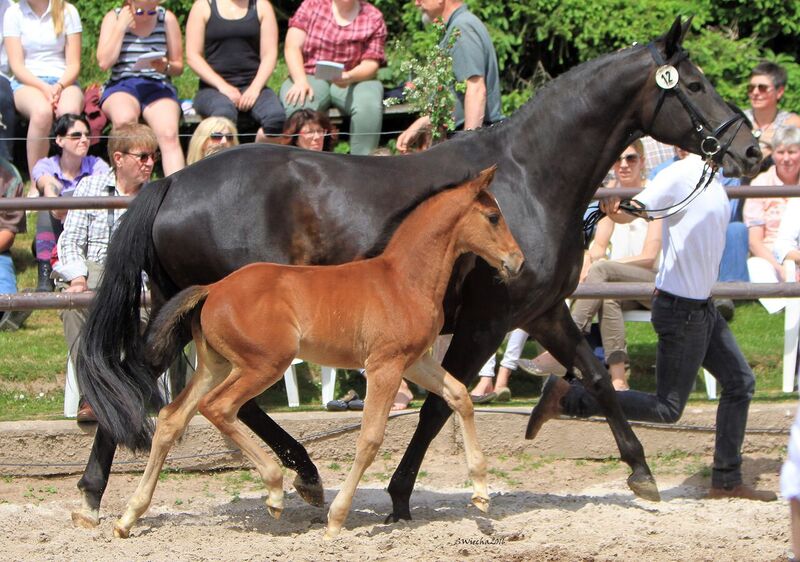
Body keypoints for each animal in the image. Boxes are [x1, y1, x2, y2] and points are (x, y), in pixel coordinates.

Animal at [114, 164, 524, 536]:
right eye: (493, 217)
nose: (517, 261)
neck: (403, 280)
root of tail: (213, 289)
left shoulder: (415, 361)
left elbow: (459, 396)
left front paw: (482, 494)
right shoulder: (385, 366)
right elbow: (370, 438)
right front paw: (336, 519)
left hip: (217, 366)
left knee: (171, 418)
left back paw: (128, 517)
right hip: (264, 365)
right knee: (218, 407)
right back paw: (275, 490)